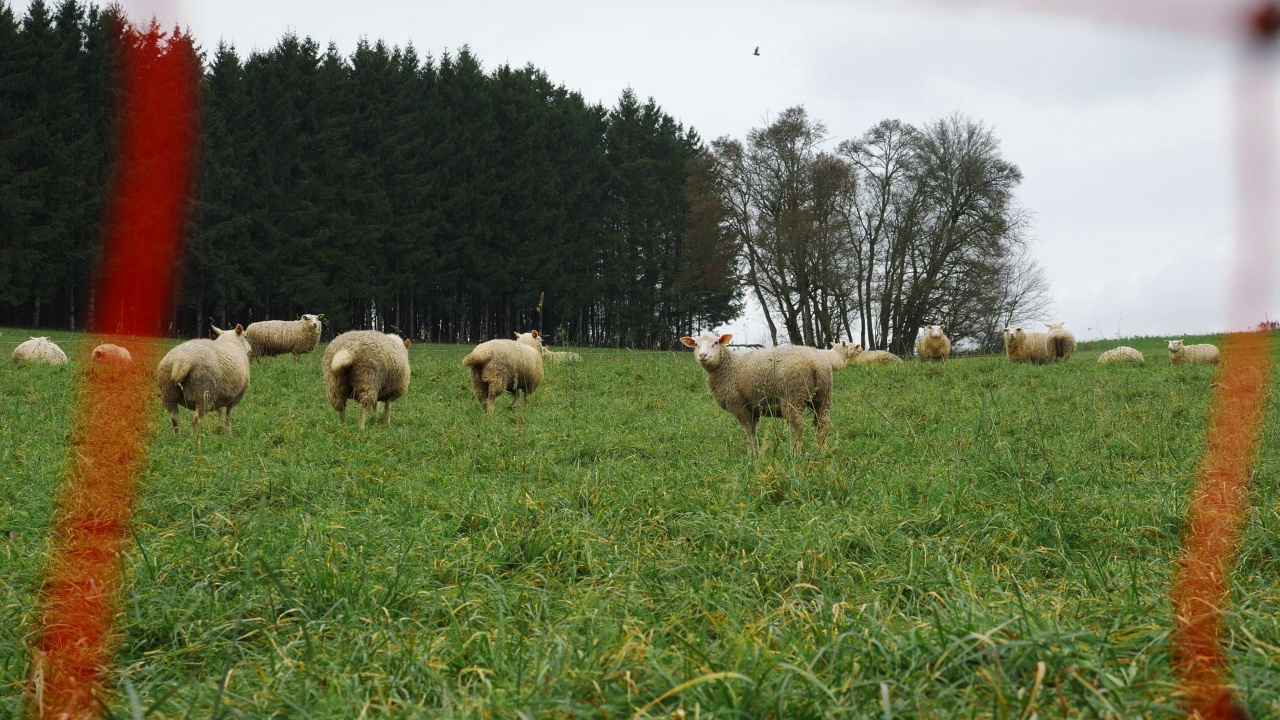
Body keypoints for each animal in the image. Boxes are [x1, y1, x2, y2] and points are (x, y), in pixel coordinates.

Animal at [680, 333, 829, 453]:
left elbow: (747, 429)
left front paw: (750, 454)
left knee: (797, 426)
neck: (728, 366)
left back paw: (795, 454)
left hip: (793, 396)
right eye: (696, 344)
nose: (703, 355)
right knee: (823, 424)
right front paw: (756, 452)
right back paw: (819, 452)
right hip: (823, 396)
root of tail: (816, 363)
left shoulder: (739, 404)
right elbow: (753, 429)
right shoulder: (753, 407)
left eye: (716, 343)